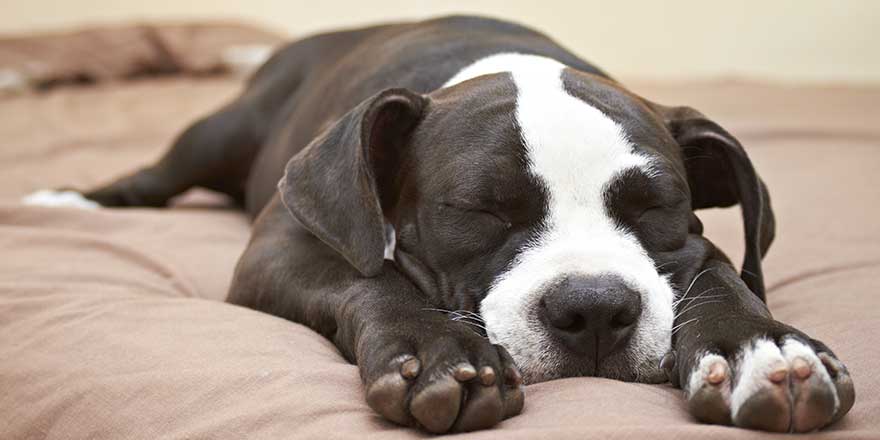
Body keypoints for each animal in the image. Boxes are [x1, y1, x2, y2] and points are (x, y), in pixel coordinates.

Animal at [27, 15, 852, 434]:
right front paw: (440, 352)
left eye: (655, 210)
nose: (593, 309)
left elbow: (718, 272)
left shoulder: (693, 247)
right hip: (224, 131)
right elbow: (375, 279)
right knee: (159, 172)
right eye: (480, 210)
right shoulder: (281, 246)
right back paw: (71, 202)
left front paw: (761, 348)